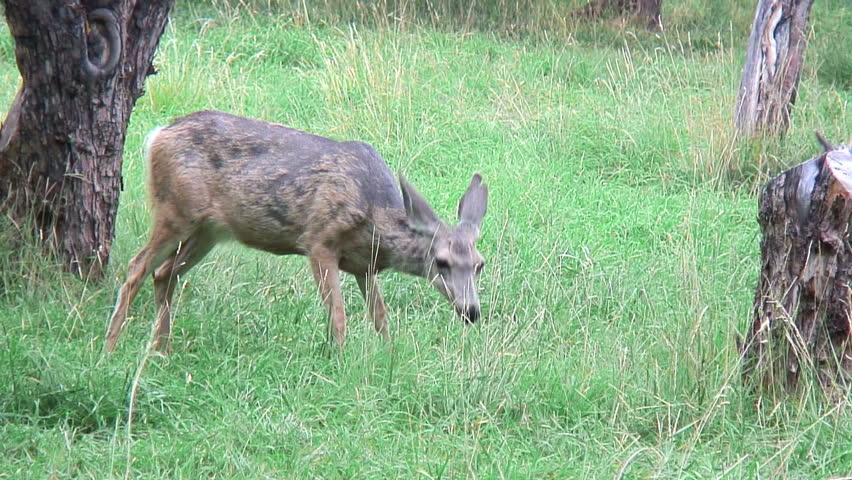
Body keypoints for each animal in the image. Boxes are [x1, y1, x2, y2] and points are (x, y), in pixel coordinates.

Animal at [105, 110, 488, 352]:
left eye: (479, 264)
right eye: (441, 261)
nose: (471, 311)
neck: (372, 214)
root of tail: (158, 135)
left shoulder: (364, 266)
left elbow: (381, 317)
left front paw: (388, 356)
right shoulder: (319, 241)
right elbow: (338, 317)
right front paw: (339, 360)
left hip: (207, 232)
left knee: (163, 273)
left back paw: (161, 350)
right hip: (175, 211)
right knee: (137, 268)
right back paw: (111, 347)